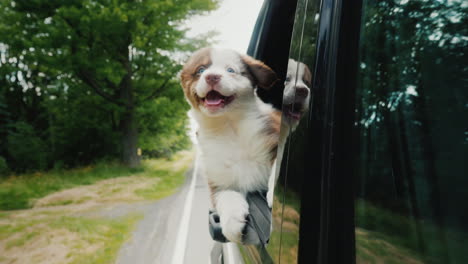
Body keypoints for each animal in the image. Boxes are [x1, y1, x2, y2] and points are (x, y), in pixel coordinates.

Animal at [181, 47, 280, 243]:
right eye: (201, 70)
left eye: (230, 70)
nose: (212, 77)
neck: (228, 126)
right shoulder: (219, 176)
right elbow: (226, 196)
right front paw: (233, 225)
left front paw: (273, 193)